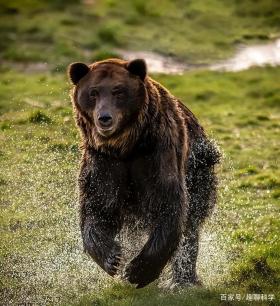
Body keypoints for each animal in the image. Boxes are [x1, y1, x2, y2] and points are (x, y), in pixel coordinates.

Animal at [68, 58, 221, 290]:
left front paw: (138, 271)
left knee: (191, 226)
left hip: (200, 169)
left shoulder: (157, 151)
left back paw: (183, 280)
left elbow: (168, 204)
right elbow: (98, 205)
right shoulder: (104, 160)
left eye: (118, 91)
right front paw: (113, 259)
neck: (126, 147)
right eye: (93, 92)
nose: (104, 118)